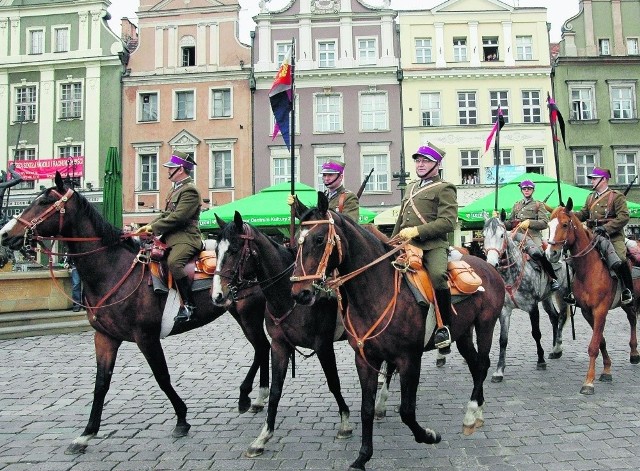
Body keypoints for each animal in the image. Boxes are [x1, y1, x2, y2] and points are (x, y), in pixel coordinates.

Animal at [0, 173, 272, 454]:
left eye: (43, 202)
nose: (6, 234)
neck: (113, 269)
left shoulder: (146, 337)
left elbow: (162, 377)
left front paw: (182, 419)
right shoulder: (105, 338)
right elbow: (101, 384)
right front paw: (86, 433)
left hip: (248, 314)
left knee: (262, 347)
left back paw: (251, 395)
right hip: (239, 313)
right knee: (261, 348)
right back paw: (255, 397)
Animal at [212, 213, 358, 458]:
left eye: (233, 249)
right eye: (215, 250)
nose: (217, 295)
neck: (289, 298)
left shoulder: (323, 346)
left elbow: (333, 383)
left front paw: (345, 423)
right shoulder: (280, 345)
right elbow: (275, 391)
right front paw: (262, 437)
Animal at [288, 193, 504, 471]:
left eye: (319, 239)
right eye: (295, 241)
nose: (299, 293)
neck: (376, 291)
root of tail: (488, 267)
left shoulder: (409, 359)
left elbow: (407, 410)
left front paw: (428, 435)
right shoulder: (365, 359)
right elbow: (366, 409)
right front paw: (362, 457)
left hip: (486, 325)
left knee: (484, 363)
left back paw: (470, 413)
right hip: (463, 334)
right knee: (476, 365)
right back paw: (476, 412)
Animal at [484, 214, 568, 384]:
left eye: (501, 235)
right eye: (484, 236)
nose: (492, 263)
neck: (512, 273)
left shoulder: (532, 307)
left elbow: (536, 333)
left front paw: (541, 361)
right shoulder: (505, 310)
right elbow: (503, 340)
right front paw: (499, 371)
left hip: (563, 294)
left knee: (562, 316)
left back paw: (558, 347)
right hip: (546, 298)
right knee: (554, 317)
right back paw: (554, 348)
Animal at [544, 198, 640, 394]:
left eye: (564, 224)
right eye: (548, 225)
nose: (552, 254)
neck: (588, 269)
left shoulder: (600, 310)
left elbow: (593, 346)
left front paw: (588, 382)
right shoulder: (587, 312)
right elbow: (600, 341)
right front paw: (607, 370)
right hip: (627, 302)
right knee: (632, 318)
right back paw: (634, 354)